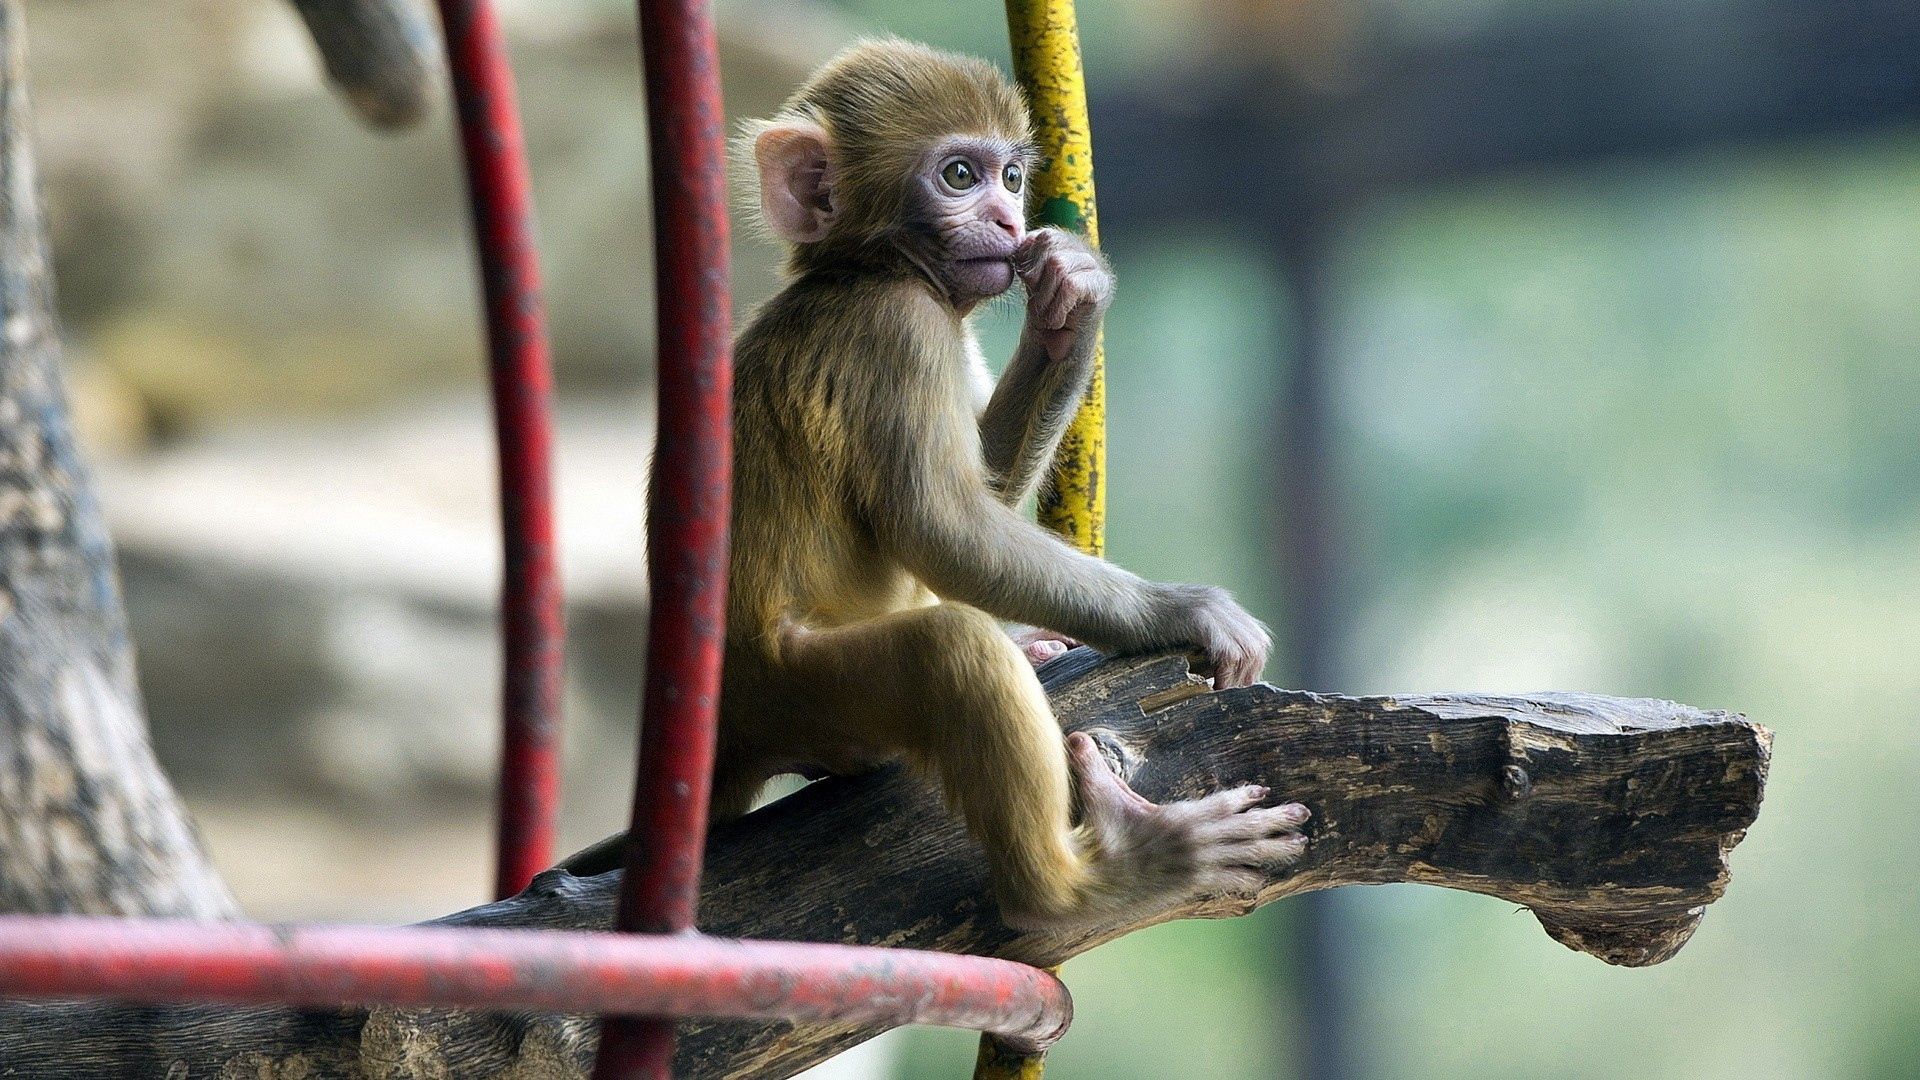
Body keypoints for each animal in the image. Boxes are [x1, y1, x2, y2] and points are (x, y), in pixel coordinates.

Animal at [721, 42, 1305, 930]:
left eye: (1012, 176)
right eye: (961, 175)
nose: (1006, 221)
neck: (864, 270)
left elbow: (986, 495)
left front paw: (1075, 301)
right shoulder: (900, 332)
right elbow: (946, 532)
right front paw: (1186, 610)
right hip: (796, 691)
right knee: (948, 647)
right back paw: (1082, 884)